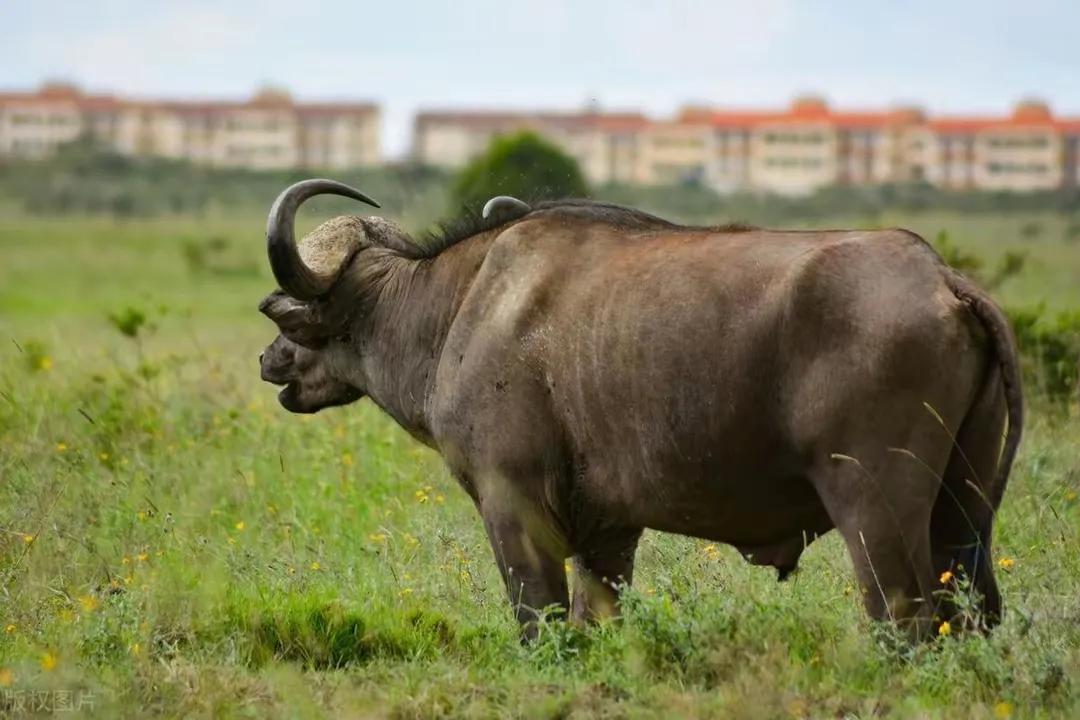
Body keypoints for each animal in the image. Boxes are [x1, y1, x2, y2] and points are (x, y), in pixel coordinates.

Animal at [259, 180, 1019, 643]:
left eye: (300, 321)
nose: (270, 361)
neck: (463, 306)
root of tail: (940, 278)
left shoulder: (513, 507)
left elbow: (538, 620)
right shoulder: (610, 533)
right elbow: (596, 619)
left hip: (875, 510)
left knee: (905, 616)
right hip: (962, 512)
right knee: (971, 613)